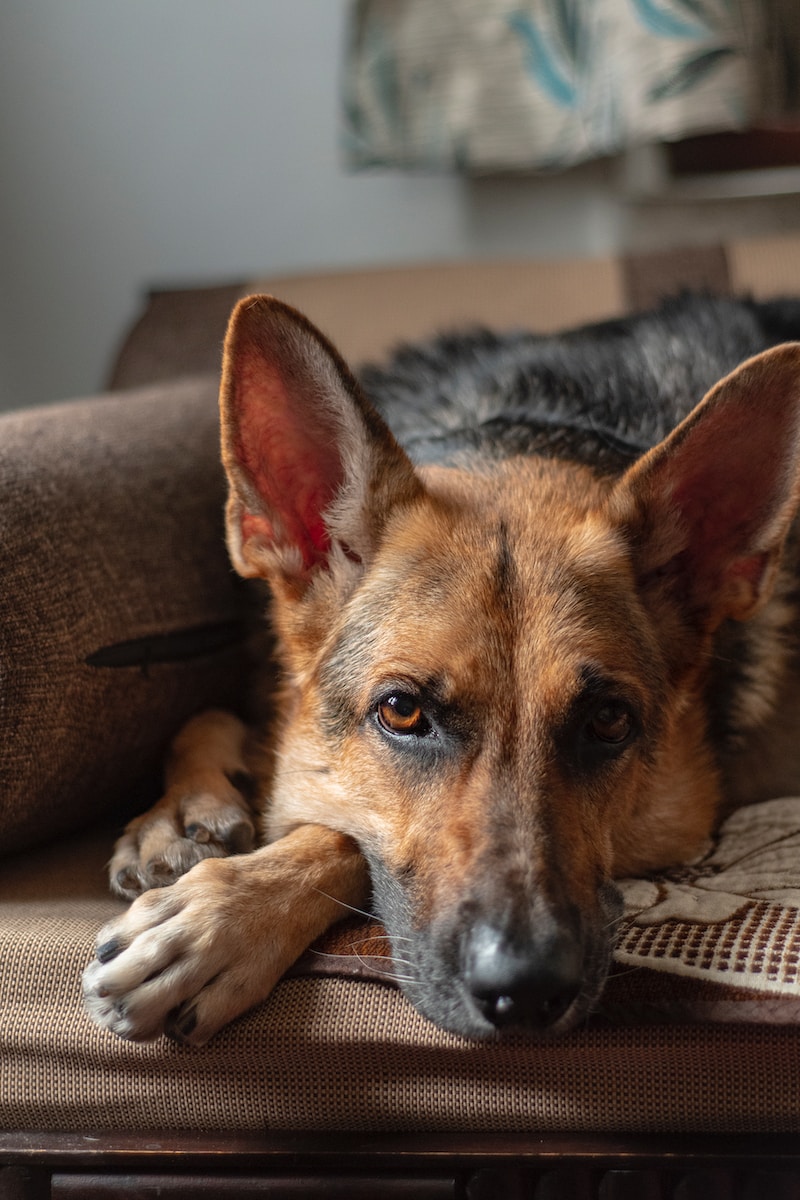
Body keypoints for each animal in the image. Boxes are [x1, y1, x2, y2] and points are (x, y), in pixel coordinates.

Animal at [82, 290, 800, 1041]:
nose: (525, 993)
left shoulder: (687, 812)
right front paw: (184, 812)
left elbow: (340, 835)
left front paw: (222, 919)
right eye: (401, 711)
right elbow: (210, 716)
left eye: (608, 720)